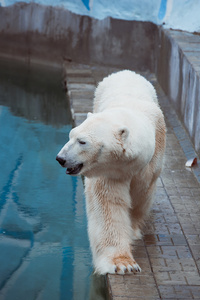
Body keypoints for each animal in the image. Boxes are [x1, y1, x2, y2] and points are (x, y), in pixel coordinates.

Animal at [56, 70, 166, 274]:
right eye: (71, 136)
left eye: (82, 141)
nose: (61, 158)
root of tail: (125, 72)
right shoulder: (108, 172)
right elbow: (108, 204)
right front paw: (123, 264)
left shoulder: (149, 164)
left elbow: (140, 194)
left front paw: (133, 231)